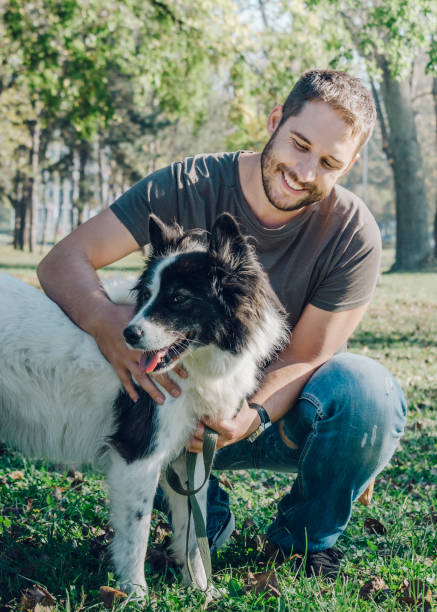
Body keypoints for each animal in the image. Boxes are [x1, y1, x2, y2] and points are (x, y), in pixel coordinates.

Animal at [0, 214, 288, 596]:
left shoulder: (189, 457)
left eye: (179, 297)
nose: (128, 335)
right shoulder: (138, 456)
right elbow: (137, 531)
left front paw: (200, 591)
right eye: (148, 296)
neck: (193, 366)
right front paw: (135, 593)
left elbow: (192, 534)